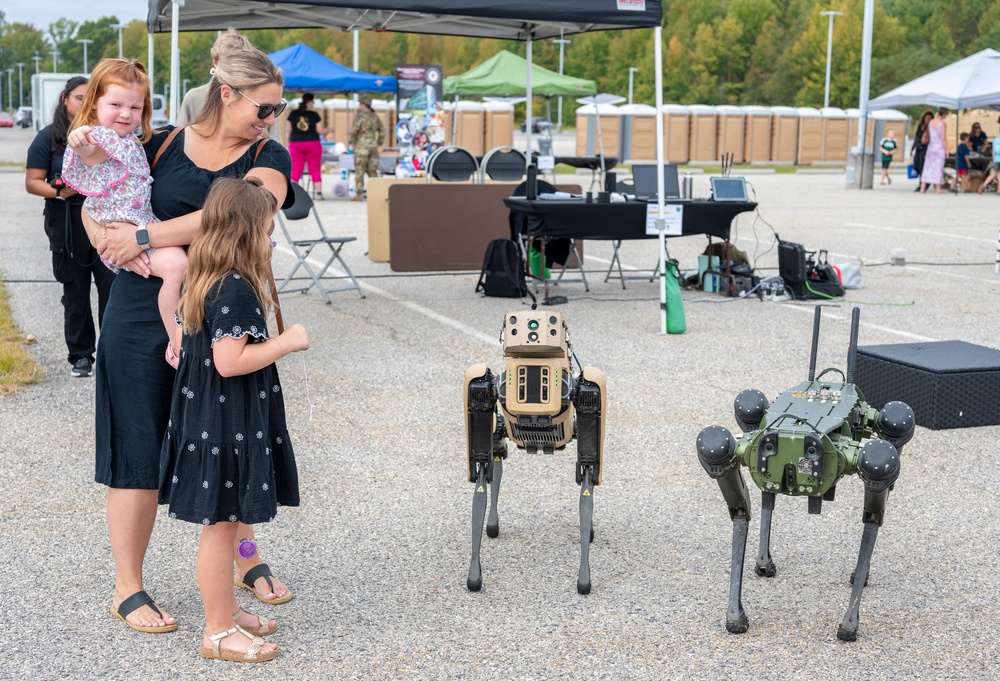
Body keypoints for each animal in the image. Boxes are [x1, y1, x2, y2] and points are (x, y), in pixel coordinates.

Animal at [696, 306, 916, 640]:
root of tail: (834, 384)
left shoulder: (876, 460)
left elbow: (873, 515)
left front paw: (849, 620)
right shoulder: (734, 450)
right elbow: (741, 513)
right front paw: (735, 614)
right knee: (763, 499)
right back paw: (764, 562)